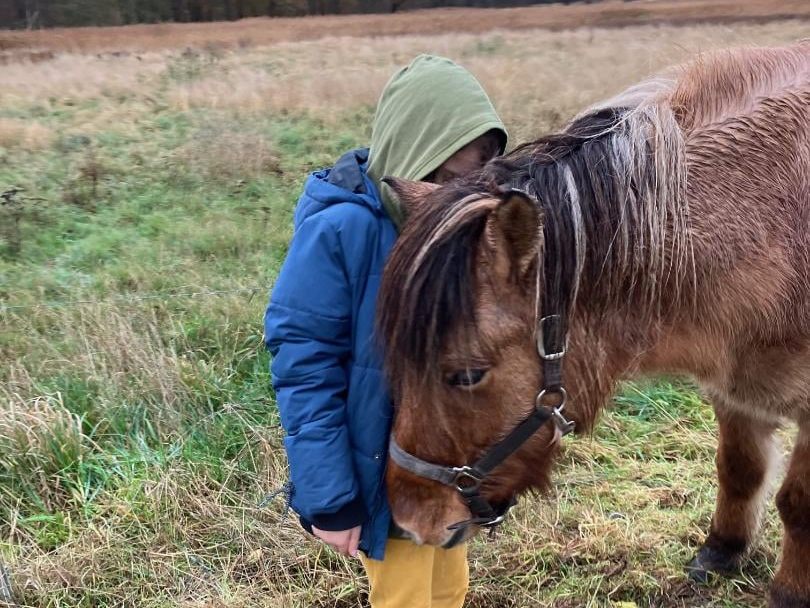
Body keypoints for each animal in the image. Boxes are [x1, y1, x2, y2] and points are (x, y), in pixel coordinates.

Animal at [377, 41, 810, 607]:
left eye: (466, 375)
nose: (410, 522)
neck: (770, 223)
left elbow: (798, 502)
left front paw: (791, 591)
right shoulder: (735, 390)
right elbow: (739, 469)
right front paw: (722, 551)